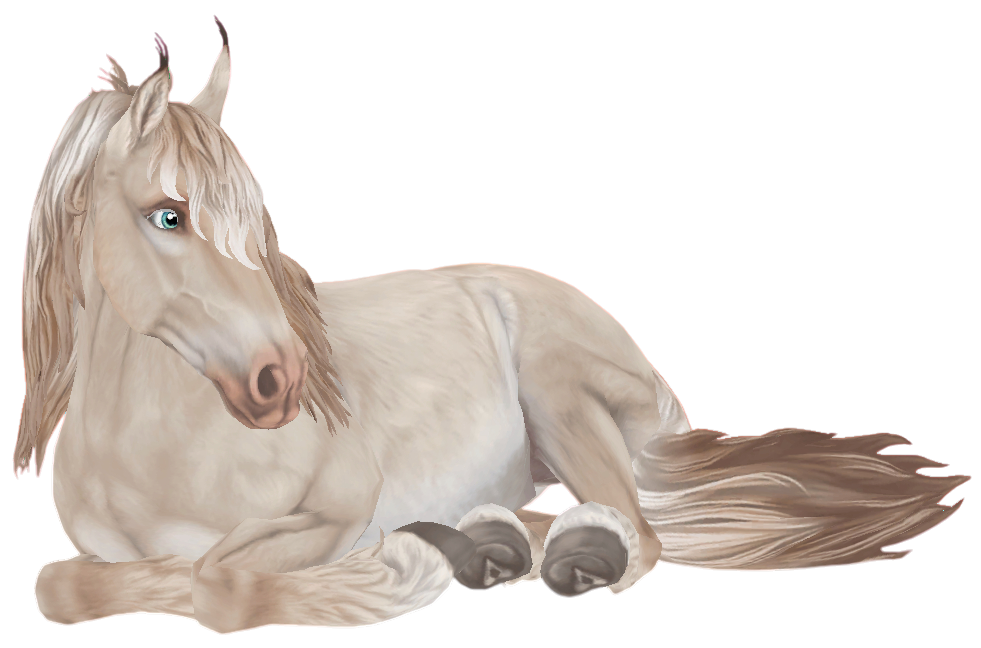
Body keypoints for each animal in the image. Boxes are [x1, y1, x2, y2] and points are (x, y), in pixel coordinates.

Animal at [17, 17, 969, 634]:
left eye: (255, 219)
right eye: (168, 215)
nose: (280, 382)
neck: (164, 453)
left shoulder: (331, 511)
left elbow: (217, 584)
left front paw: (383, 576)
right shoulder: (90, 559)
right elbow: (61, 587)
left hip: (564, 400)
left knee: (641, 533)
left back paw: (529, 554)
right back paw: (491, 544)